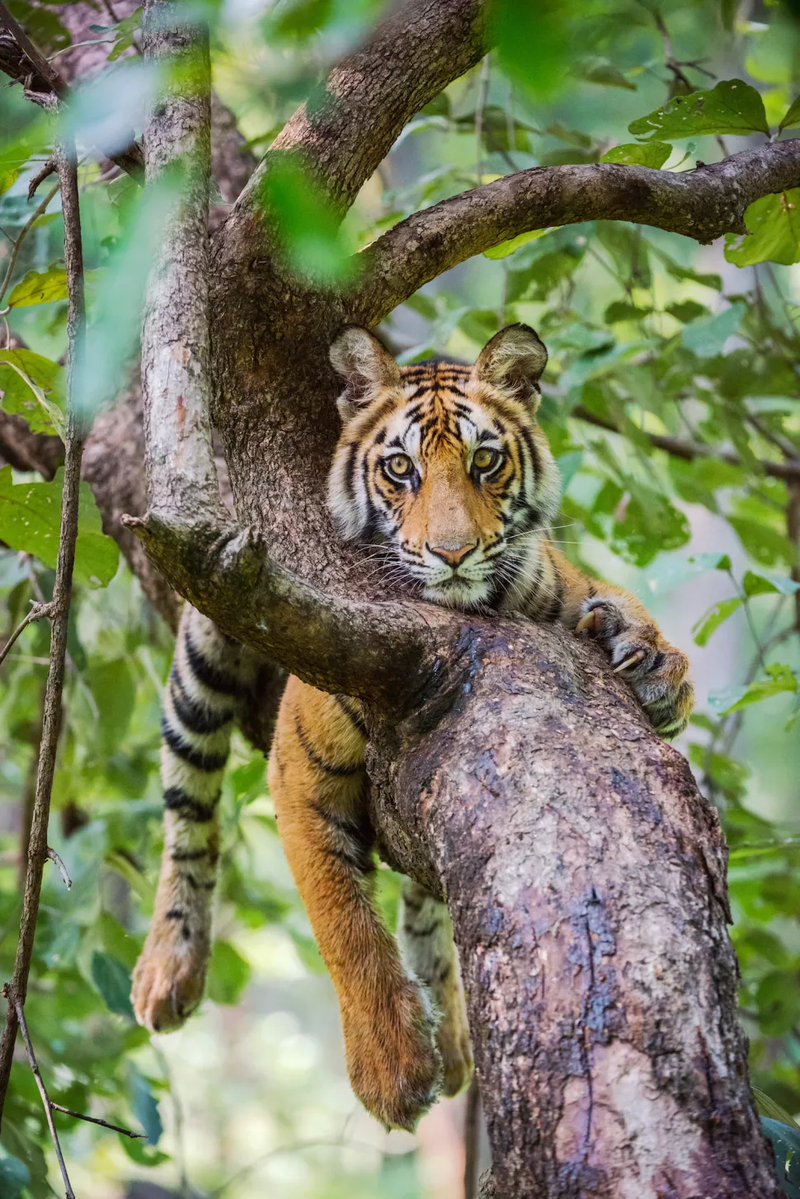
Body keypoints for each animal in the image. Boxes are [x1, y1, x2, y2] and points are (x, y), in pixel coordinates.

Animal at [131, 326, 695, 1131]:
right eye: (400, 468)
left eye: (485, 460)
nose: (452, 554)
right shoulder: (298, 770)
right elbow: (344, 923)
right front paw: (391, 1069)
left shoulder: (557, 579)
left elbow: (616, 608)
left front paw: (650, 661)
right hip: (206, 638)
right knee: (187, 810)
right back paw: (167, 969)